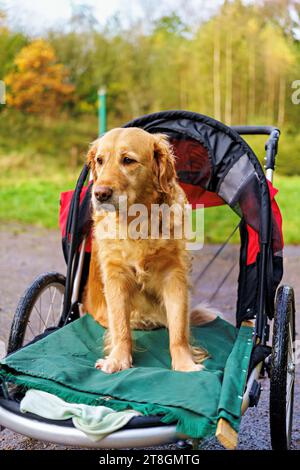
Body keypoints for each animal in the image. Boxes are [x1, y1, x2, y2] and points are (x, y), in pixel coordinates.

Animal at [82, 126, 216, 372]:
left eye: (128, 160)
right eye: (99, 160)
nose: (100, 193)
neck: (137, 221)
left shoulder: (174, 274)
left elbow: (178, 328)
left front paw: (185, 364)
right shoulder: (116, 275)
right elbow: (121, 327)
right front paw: (118, 359)